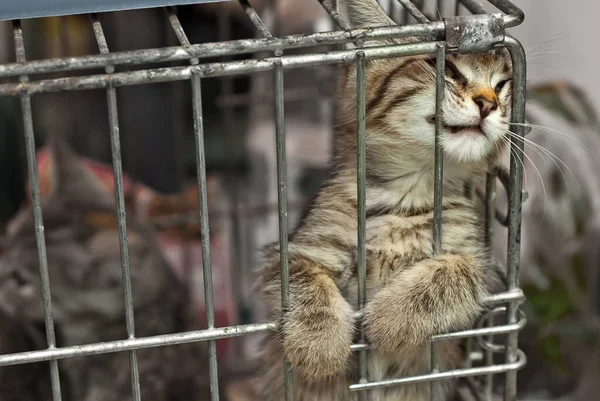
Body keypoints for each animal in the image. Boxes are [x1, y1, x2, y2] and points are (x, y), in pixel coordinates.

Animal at [253, 0, 510, 400]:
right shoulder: (292, 252)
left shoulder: (484, 266)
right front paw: (318, 342)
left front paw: (391, 316)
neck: (412, 190)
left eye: (502, 85)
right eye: (446, 68)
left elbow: (457, 271)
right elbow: (305, 279)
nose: (488, 103)